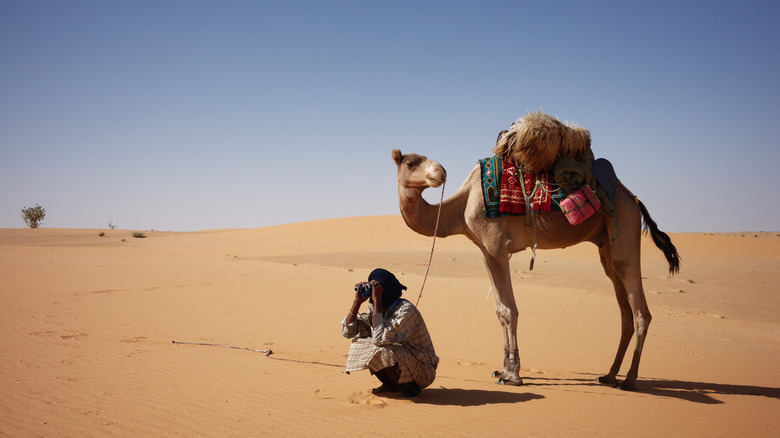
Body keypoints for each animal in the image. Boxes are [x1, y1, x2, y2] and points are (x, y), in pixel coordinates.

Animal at [394, 137, 680, 390]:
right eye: (409, 163)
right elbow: (500, 310)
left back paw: (629, 380)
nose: (440, 171)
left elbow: (509, 310)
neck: (462, 206)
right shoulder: (486, 251)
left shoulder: (497, 247)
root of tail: (634, 199)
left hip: (625, 227)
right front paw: (502, 369)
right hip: (606, 244)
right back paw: (609, 375)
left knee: (640, 308)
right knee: (624, 309)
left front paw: (513, 375)